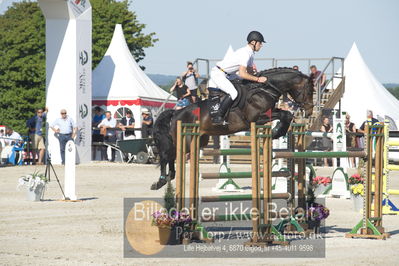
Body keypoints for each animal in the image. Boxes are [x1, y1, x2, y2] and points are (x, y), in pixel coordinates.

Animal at [151, 67, 316, 190]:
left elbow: (286, 114)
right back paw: (160, 181)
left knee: (171, 156)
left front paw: (278, 132)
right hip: (185, 140)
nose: (309, 112)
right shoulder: (256, 118)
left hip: (199, 140)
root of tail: (176, 113)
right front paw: (277, 132)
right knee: (167, 156)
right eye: (309, 91)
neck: (264, 89)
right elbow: (285, 114)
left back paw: (169, 177)